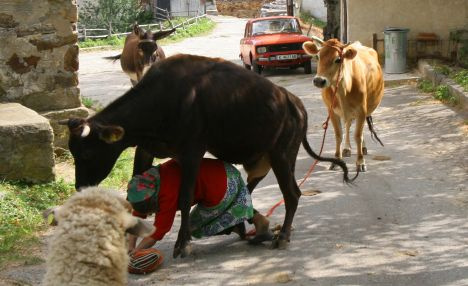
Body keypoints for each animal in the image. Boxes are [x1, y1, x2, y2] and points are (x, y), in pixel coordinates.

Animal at [304, 38, 384, 172]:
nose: (319, 80)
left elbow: (358, 135)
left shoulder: (361, 110)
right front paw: (337, 159)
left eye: (338, 59)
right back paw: (346, 148)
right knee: (347, 125)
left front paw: (360, 162)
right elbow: (338, 134)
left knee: (358, 129)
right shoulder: (332, 111)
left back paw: (362, 148)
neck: (343, 90)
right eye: (318, 57)